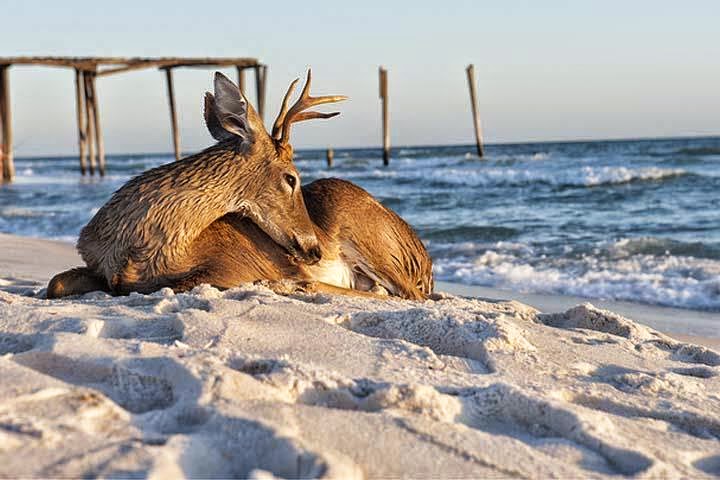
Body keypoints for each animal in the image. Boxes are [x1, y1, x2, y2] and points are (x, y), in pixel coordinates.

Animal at [50, 71, 436, 300]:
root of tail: (426, 262)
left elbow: (183, 283)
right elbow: (56, 282)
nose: (315, 250)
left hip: (365, 230)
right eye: (291, 178)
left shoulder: (229, 264)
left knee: (404, 293)